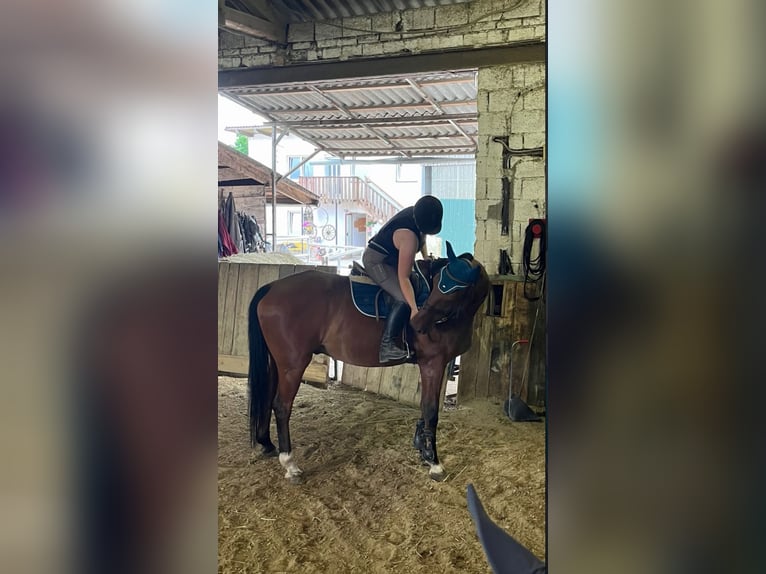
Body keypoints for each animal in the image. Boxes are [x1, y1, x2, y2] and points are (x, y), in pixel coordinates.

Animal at [247, 241, 490, 482]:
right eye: (441, 285)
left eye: (456, 291)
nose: (417, 322)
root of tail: (272, 287)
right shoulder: (433, 363)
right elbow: (430, 410)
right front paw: (434, 462)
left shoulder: (433, 365)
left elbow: (424, 407)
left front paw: (423, 449)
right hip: (293, 365)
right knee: (282, 406)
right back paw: (289, 464)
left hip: (277, 363)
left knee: (267, 397)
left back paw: (267, 444)